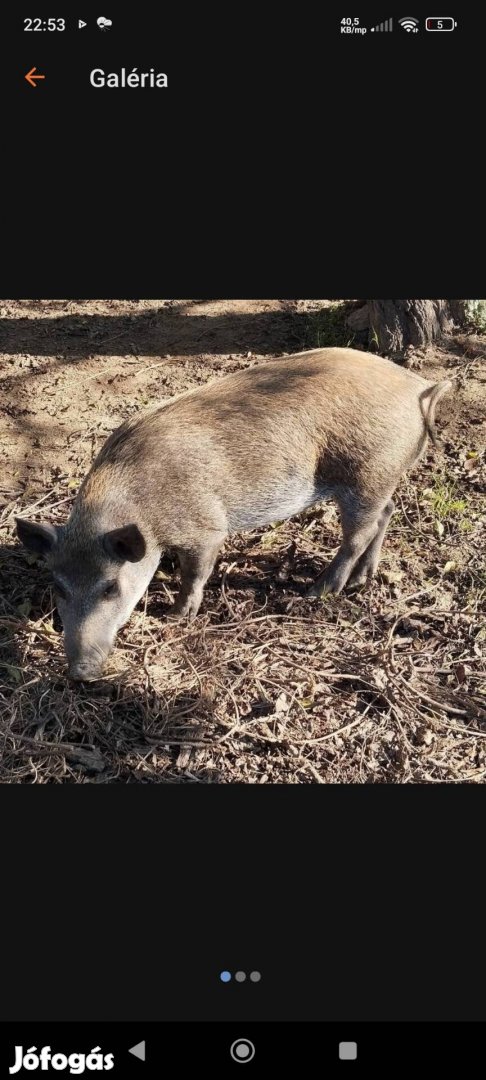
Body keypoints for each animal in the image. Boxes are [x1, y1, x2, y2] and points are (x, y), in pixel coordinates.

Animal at [15, 349, 449, 678]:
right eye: (58, 587)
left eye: (110, 588)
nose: (80, 673)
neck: (144, 514)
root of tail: (418, 386)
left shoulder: (208, 528)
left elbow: (195, 573)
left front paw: (177, 617)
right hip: (381, 480)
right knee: (386, 513)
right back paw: (362, 580)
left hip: (367, 473)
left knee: (357, 535)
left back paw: (319, 590)